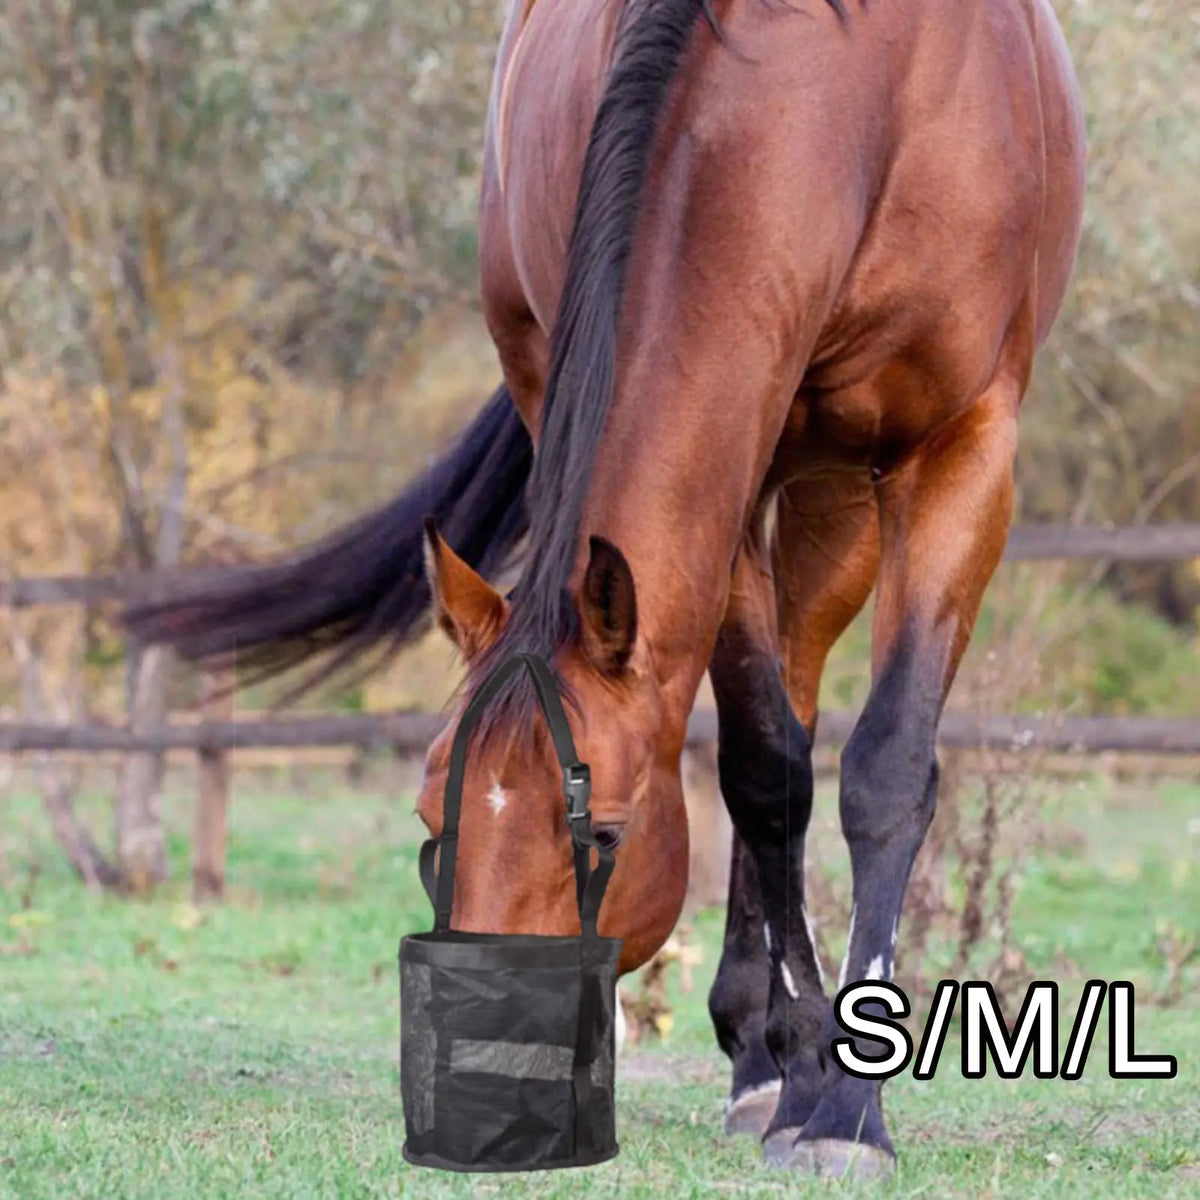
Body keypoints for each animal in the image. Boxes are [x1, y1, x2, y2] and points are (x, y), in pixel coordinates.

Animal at [125, 0, 1086, 1179]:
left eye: (607, 839)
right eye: (430, 821)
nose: (490, 1086)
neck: (847, 89)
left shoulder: (963, 448)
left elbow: (885, 773)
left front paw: (846, 1111)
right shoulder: (728, 469)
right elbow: (764, 774)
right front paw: (789, 1061)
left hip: (840, 495)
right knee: (779, 719)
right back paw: (764, 1054)